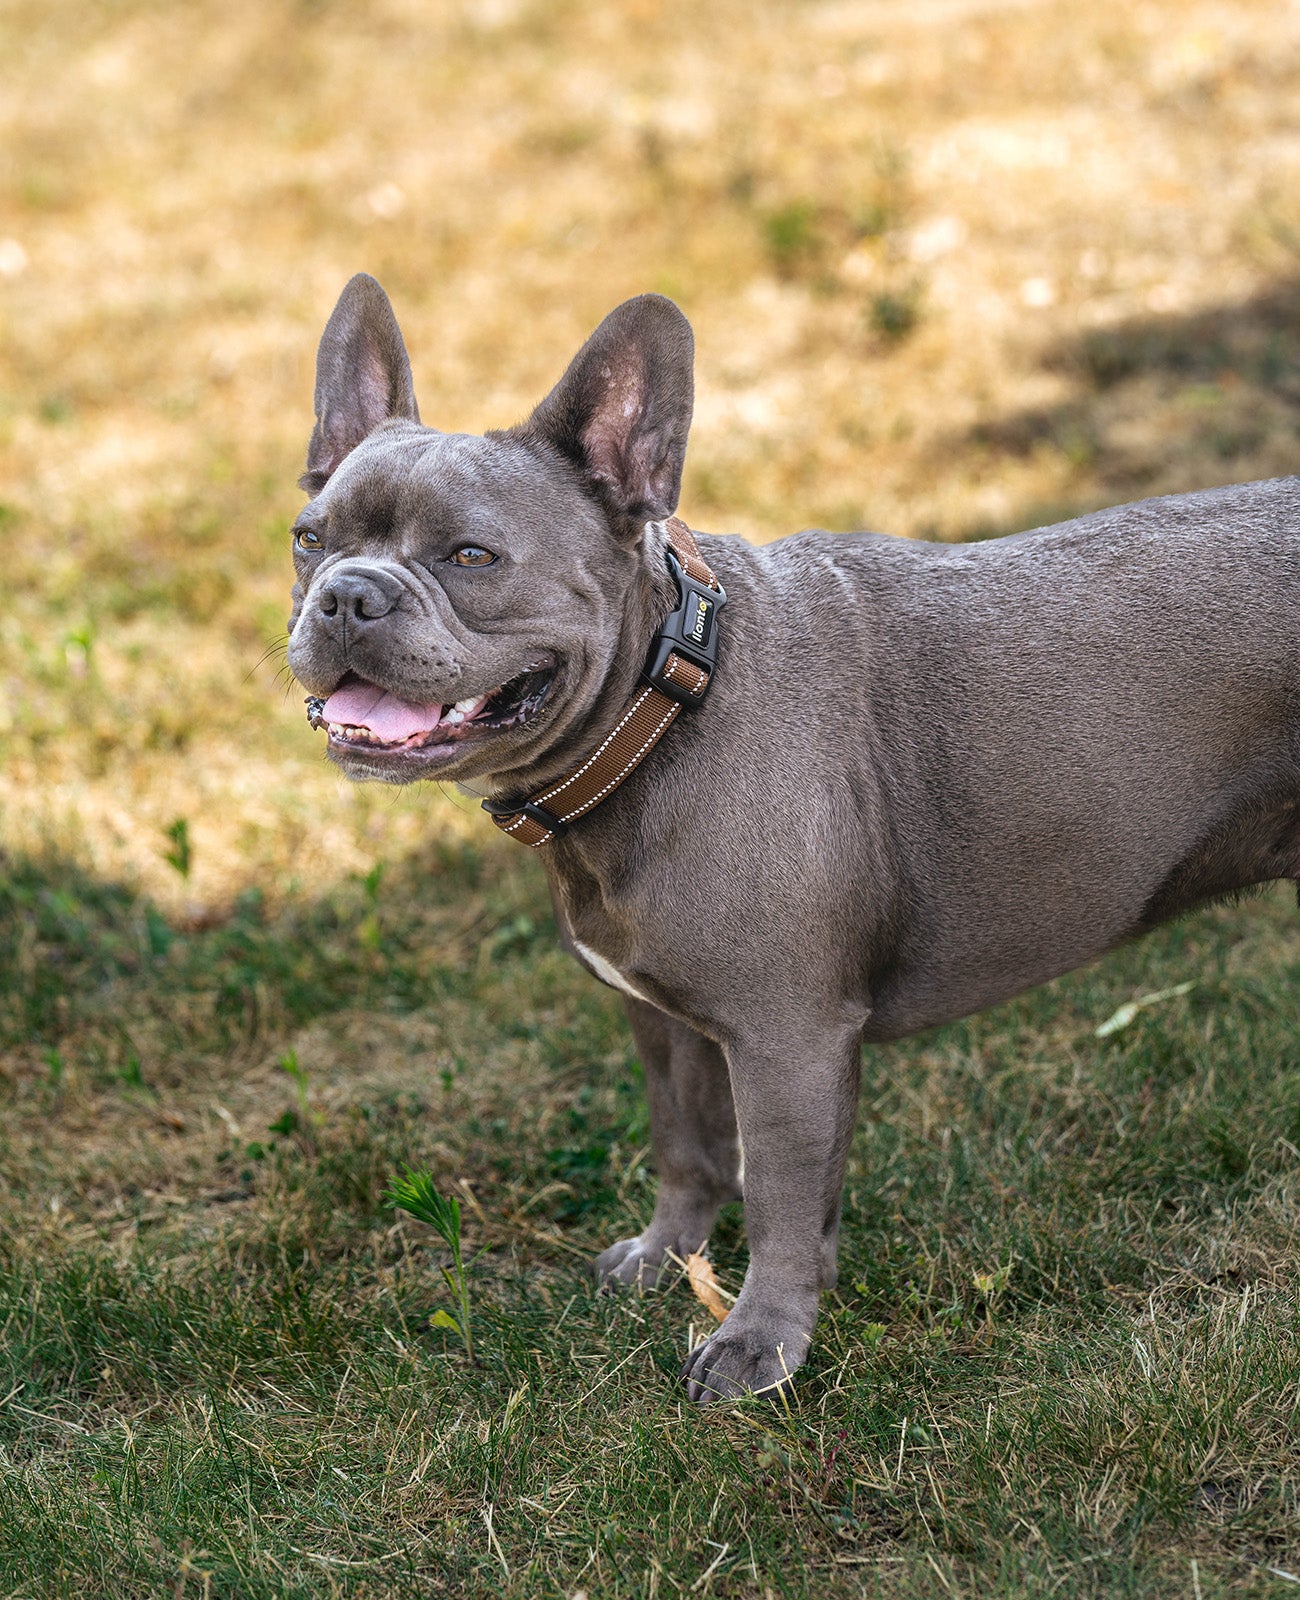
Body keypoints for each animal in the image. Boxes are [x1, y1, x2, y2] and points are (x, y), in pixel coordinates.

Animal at [284, 275, 1300, 1401]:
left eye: (471, 557)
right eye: (308, 539)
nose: (347, 594)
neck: (666, 697)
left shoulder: (788, 1040)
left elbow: (776, 1193)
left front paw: (758, 1340)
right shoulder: (666, 1021)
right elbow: (685, 1149)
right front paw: (667, 1258)